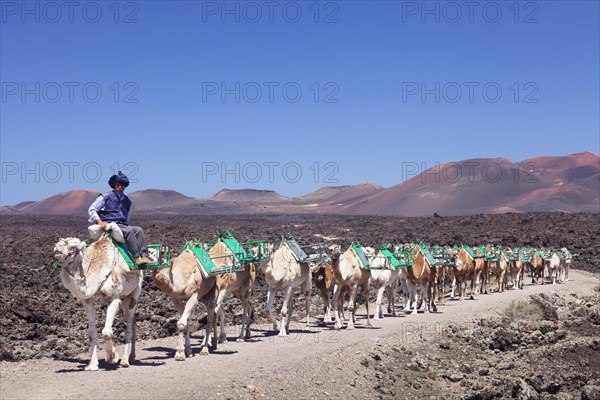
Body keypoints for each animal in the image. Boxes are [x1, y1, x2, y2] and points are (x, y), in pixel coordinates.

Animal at [53, 234, 143, 372]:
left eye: (73, 247)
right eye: (59, 243)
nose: (56, 250)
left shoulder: (114, 298)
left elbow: (106, 332)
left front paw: (112, 357)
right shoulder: (88, 301)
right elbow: (92, 332)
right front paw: (92, 364)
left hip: (134, 295)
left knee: (129, 324)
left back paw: (125, 360)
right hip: (124, 301)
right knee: (133, 322)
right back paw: (132, 356)